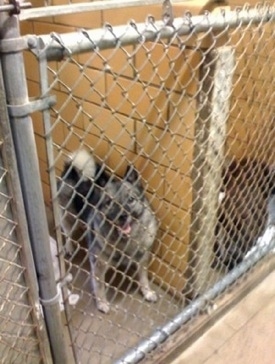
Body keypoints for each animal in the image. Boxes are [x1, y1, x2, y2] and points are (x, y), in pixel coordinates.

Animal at [58, 149, 158, 314]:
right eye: (109, 202)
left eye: (131, 199)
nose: (123, 216)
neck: (125, 241)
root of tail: (73, 170)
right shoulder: (98, 266)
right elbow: (99, 287)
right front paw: (102, 303)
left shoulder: (143, 257)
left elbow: (143, 277)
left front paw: (147, 291)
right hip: (68, 218)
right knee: (67, 234)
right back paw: (69, 247)